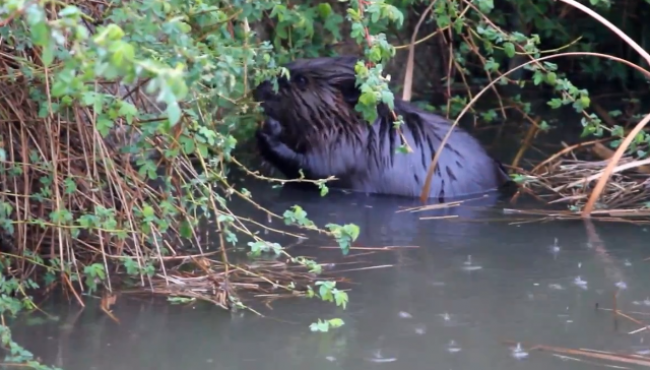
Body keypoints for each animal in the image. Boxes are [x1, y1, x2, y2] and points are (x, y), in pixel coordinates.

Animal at [251, 55, 508, 201]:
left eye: (302, 81)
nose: (258, 87)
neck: (371, 126)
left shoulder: (349, 146)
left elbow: (317, 169)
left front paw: (266, 130)